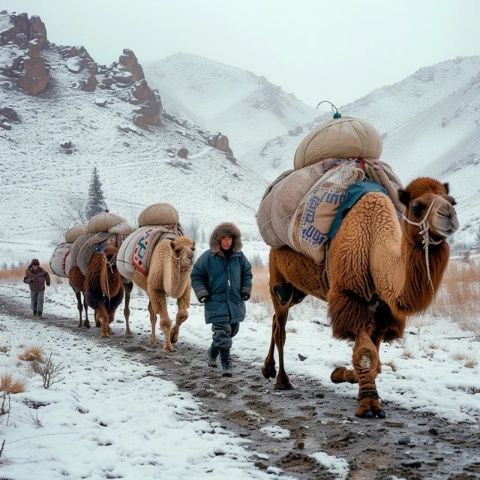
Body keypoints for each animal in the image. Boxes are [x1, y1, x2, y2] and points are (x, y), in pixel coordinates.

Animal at [264, 178, 460, 418]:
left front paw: (340, 374)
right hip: (279, 279)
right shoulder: (351, 297)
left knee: (276, 319)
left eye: (452, 201)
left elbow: (376, 361)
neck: (374, 244)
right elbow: (365, 354)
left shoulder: (382, 310)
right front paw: (368, 403)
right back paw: (282, 380)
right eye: (417, 207)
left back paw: (268, 369)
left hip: (299, 289)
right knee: (281, 326)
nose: (449, 214)